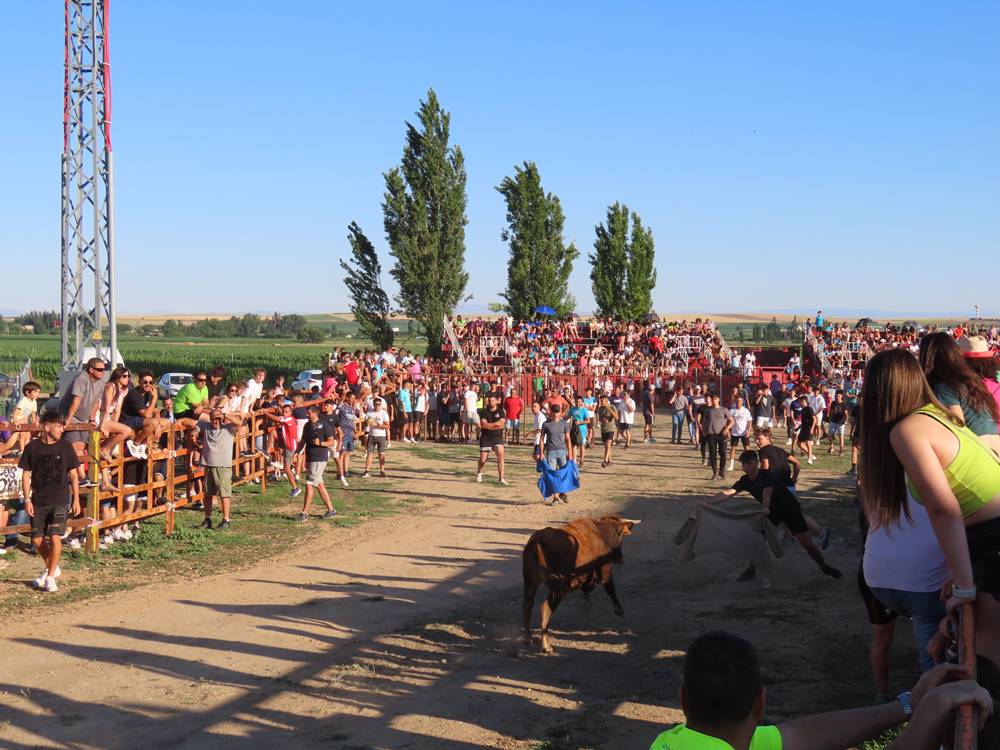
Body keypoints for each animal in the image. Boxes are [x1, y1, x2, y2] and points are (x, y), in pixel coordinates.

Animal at [520, 516, 636, 652]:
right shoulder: (605, 570)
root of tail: (538, 540)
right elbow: (610, 589)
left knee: (527, 606)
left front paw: (587, 603)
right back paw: (546, 646)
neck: (600, 533)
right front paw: (619, 610)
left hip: (530, 582)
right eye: (621, 536)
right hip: (557, 589)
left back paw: (528, 638)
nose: (620, 559)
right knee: (545, 609)